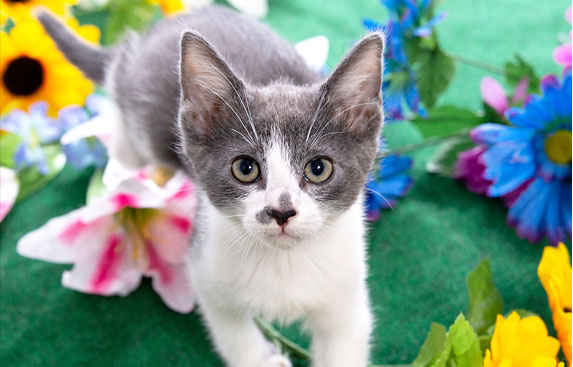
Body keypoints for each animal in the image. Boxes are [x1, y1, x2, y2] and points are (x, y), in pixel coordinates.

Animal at [40, 6, 384, 367]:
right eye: (245, 168)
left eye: (318, 169)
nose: (281, 211)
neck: (283, 261)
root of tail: (140, 41)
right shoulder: (204, 268)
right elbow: (233, 333)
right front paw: (263, 358)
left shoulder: (347, 295)